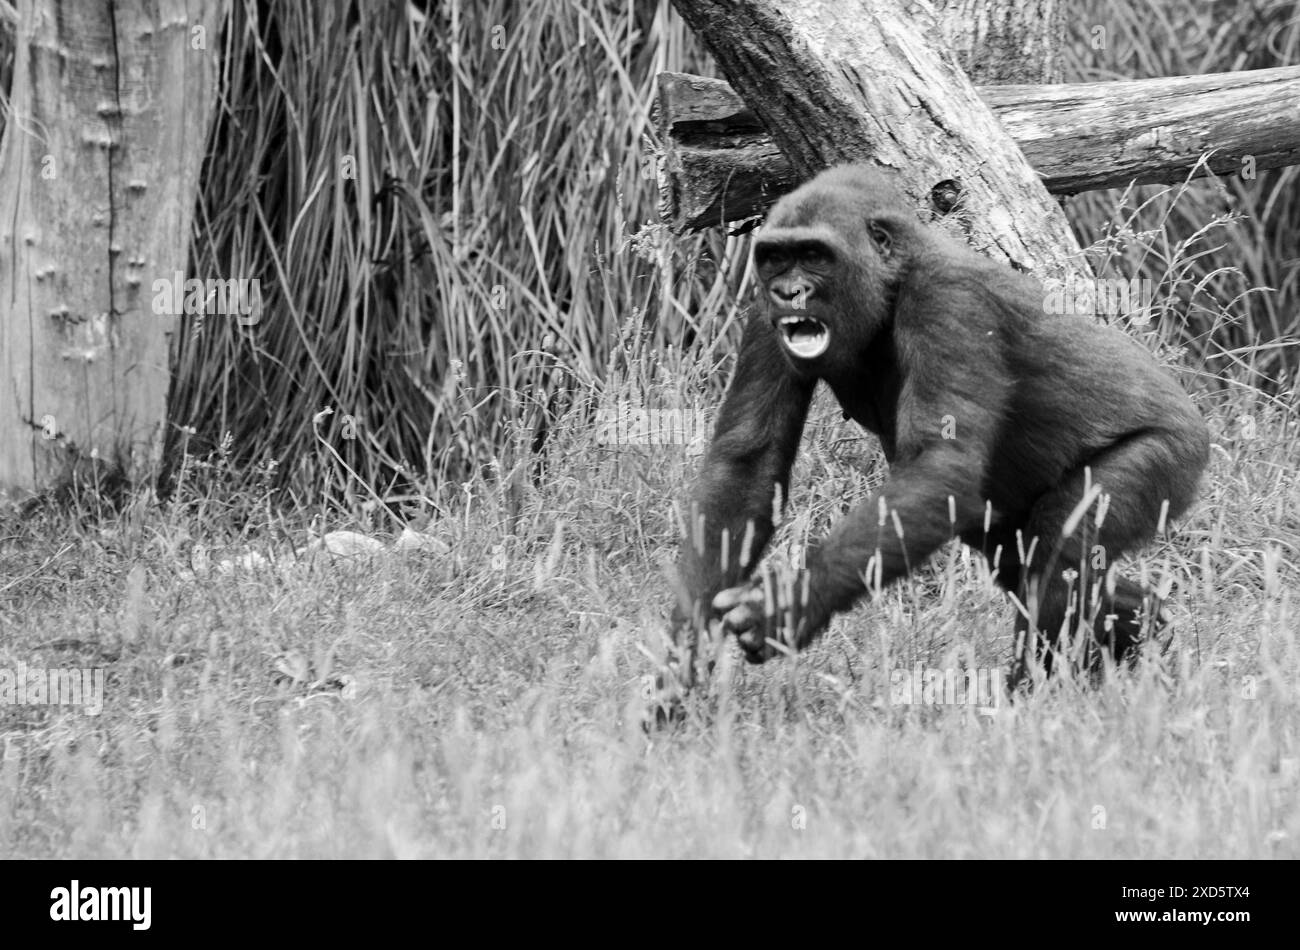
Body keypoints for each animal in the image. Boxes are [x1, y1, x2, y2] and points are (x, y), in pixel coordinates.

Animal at [665, 161, 1211, 696]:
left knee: (1063, 550)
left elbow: (938, 466)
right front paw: (683, 660)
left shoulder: (946, 296)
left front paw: (792, 603)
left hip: (1173, 452)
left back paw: (1035, 692)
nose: (788, 292)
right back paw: (1144, 625)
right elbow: (746, 464)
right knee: (1023, 559)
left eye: (815, 256)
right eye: (776, 259)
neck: (893, 279)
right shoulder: (764, 314)